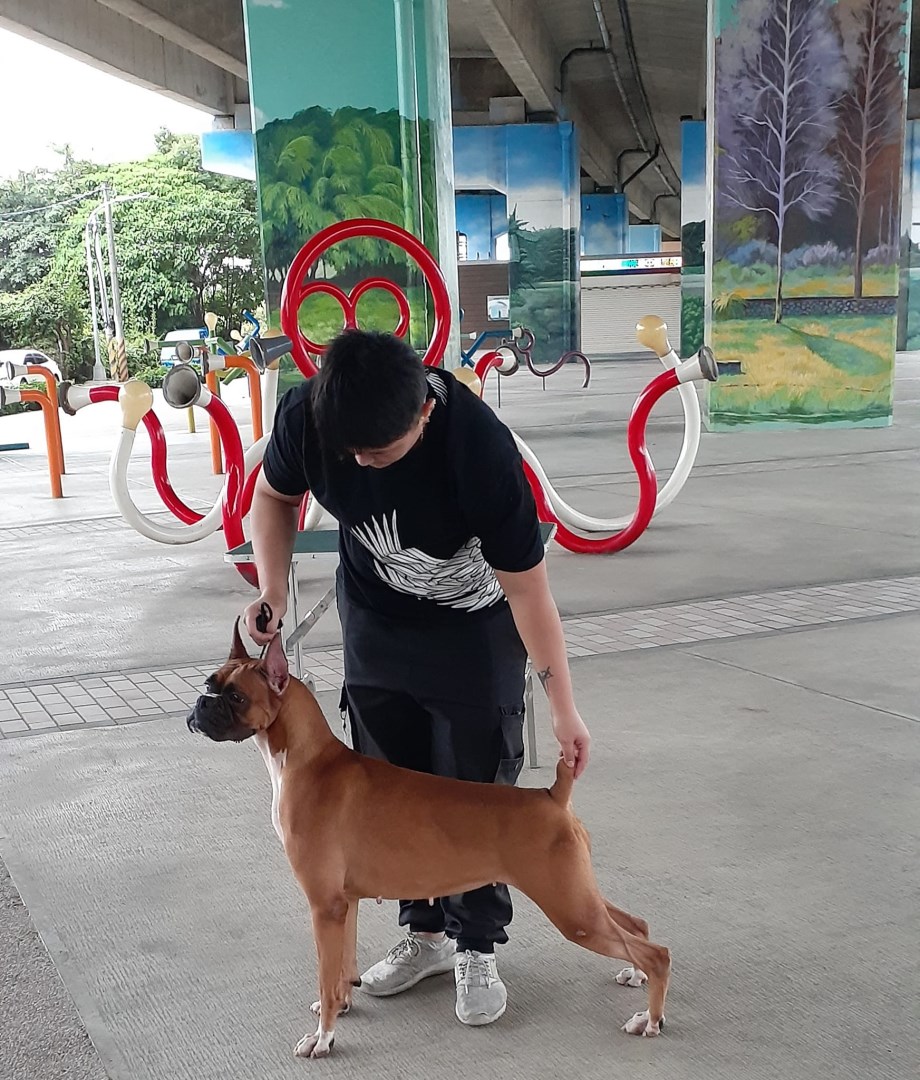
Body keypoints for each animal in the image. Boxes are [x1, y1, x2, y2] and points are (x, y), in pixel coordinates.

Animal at [187, 624, 671, 1059]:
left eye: (236, 696)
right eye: (210, 683)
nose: (201, 704)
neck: (307, 760)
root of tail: (553, 795)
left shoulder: (324, 906)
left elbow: (326, 976)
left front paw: (322, 1039)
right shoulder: (345, 904)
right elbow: (341, 969)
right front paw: (342, 1006)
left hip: (571, 910)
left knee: (657, 953)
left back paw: (648, 1019)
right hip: (579, 895)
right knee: (637, 925)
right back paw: (634, 977)